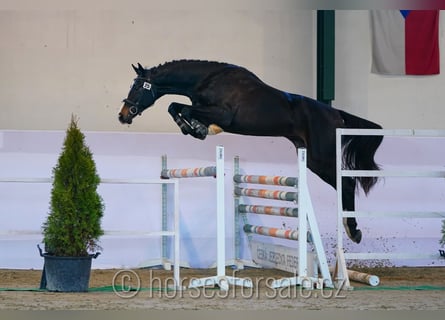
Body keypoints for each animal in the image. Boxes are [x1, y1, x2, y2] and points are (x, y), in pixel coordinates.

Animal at [119, 59, 382, 242]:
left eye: (138, 87)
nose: (123, 116)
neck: (207, 80)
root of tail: (336, 113)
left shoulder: (223, 114)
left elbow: (180, 107)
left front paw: (196, 128)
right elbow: (176, 107)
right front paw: (194, 128)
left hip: (321, 158)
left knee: (346, 183)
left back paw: (353, 230)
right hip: (310, 157)